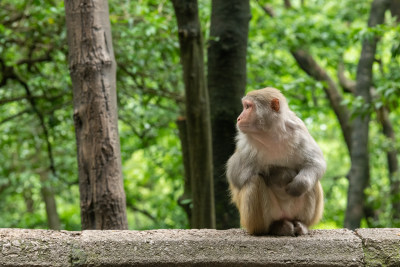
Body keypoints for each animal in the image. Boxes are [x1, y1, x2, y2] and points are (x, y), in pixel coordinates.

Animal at [227, 88, 326, 237]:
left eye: (248, 107)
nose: (239, 118)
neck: (270, 134)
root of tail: (286, 216)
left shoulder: (299, 129)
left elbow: (315, 162)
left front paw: (298, 185)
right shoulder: (244, 142)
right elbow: (235, 174)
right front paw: (283, 173)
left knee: (312, 181)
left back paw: (301, 224)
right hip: (254, 220)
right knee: (255, 180)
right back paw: (274, 228)